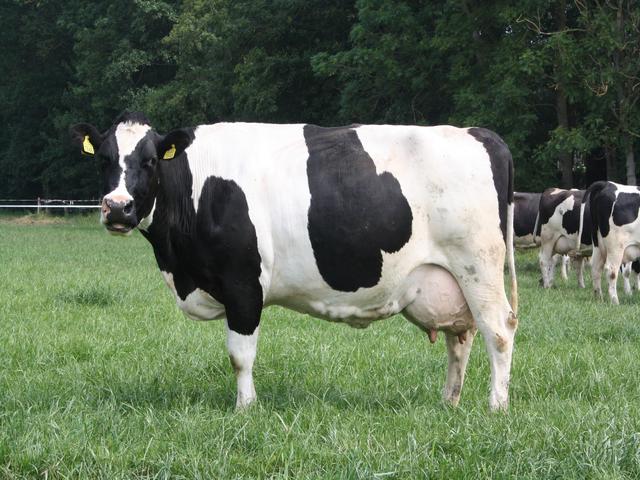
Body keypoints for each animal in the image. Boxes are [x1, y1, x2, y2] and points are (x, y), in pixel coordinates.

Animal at [70, 112, 518, 411]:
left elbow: (240, 354)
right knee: (460, 338)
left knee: (498, 330)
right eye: (103, 159)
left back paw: (496, 406)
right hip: (450, 280)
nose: (118, 207)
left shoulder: (243, 284)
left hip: (478, 265)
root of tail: (479, 133)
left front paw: (245, 408)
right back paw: (449, 402)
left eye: (149, 160)